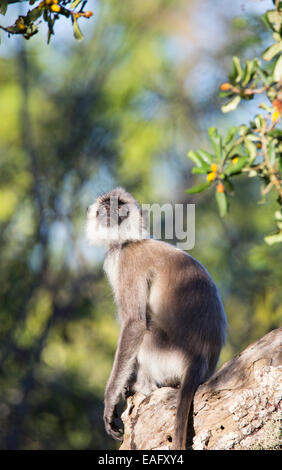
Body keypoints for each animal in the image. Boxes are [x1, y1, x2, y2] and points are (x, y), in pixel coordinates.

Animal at [85, 186, 227, 448]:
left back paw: (141, 385)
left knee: (146, 331)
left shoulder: (127, 260)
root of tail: (198, 361)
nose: (110, 210)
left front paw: (110, 399)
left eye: (120, 204)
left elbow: (134, 324)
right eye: (106, 204)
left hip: (167, 356)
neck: (128, 241)